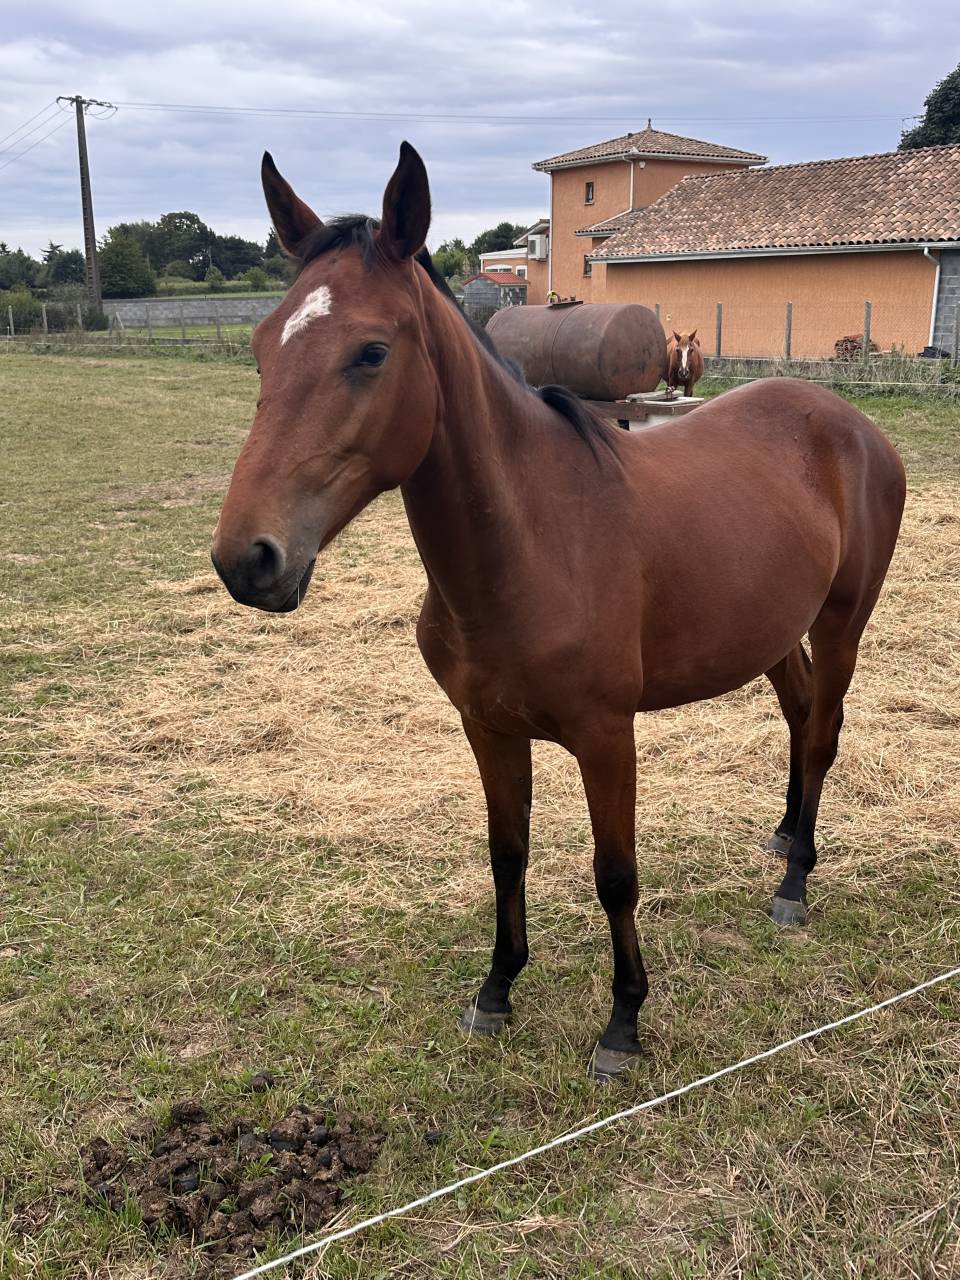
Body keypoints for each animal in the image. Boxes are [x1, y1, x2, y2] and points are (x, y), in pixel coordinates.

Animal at [211, 143, 906, 1081]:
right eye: (260, 349)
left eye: (370, 352)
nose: (247, 559)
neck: (534, 545)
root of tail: (849, 423)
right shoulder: (488, 729)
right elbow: (507, 855)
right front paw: (497, 988)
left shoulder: (607, 737)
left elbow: (616, 874)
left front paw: (623, 1023)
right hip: (769, 634)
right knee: (799, 721)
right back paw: (782, 836)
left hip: (840, 625)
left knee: (825, 733)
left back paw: (795, 883)